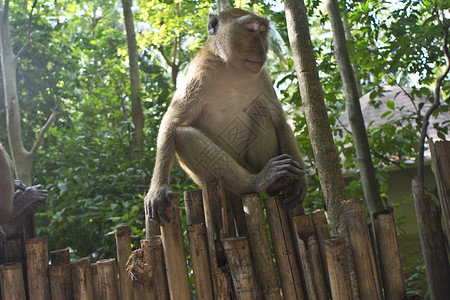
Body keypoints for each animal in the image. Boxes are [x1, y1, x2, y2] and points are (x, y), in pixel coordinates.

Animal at [146, 7, 308, 224]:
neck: (231, 68)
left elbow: (278, 119)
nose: (262, 49)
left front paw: (299, 181)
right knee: (182, 135)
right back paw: (255, 182)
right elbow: (172, 122)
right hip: (207, 182)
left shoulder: (262, 74)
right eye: (251, 30)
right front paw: (158, 189)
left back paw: (278, 184)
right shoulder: (200, 72)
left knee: (261, 110)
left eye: (262, 31)